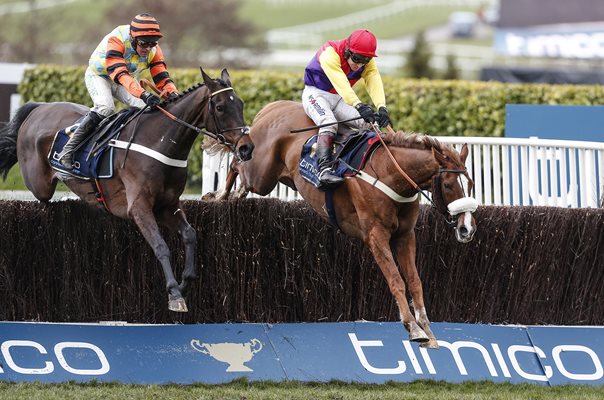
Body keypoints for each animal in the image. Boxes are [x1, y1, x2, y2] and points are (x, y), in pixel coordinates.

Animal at [0, 68, 254, 312]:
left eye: (241, 104)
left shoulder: (168, 205)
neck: (161, 142)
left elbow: (190, 235)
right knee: (43, 197)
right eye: (220, 107)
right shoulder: (139, 207)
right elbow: (161, 246)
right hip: (39, 182)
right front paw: (174, 293)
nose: (246, 147)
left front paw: (184, 283)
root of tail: (39, 108)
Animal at [206, 101, 476, 350]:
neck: (389, 172)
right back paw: (219, 195)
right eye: (449, 185)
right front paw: (413, 328)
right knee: (236, 164)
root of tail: (272, 108)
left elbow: (415, 281)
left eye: (471, 184)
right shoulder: (376, 235)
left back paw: (233, 194)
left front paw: (427, 330)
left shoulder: (405, 235)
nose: (467, 228)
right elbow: (396, 280)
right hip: (261, 175)